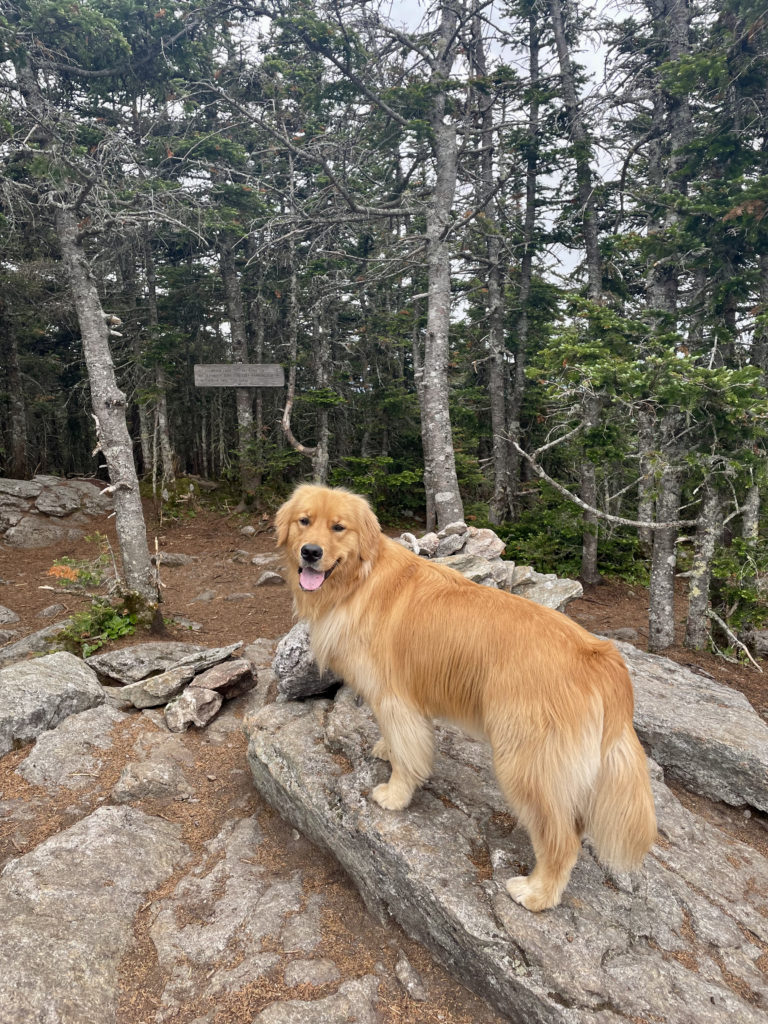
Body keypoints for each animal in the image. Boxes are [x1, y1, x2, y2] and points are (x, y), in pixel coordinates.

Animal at [274, 485, 655, 913]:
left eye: (339, 527)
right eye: (304, 521)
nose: (310, 552)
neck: (359, 579)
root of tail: (602, 658)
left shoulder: (395, 698)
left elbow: (408, 755)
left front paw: (395, 795)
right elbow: (398, 741)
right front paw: (386, 749)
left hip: (525, 764)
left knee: (562, 839)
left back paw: (537, 893)